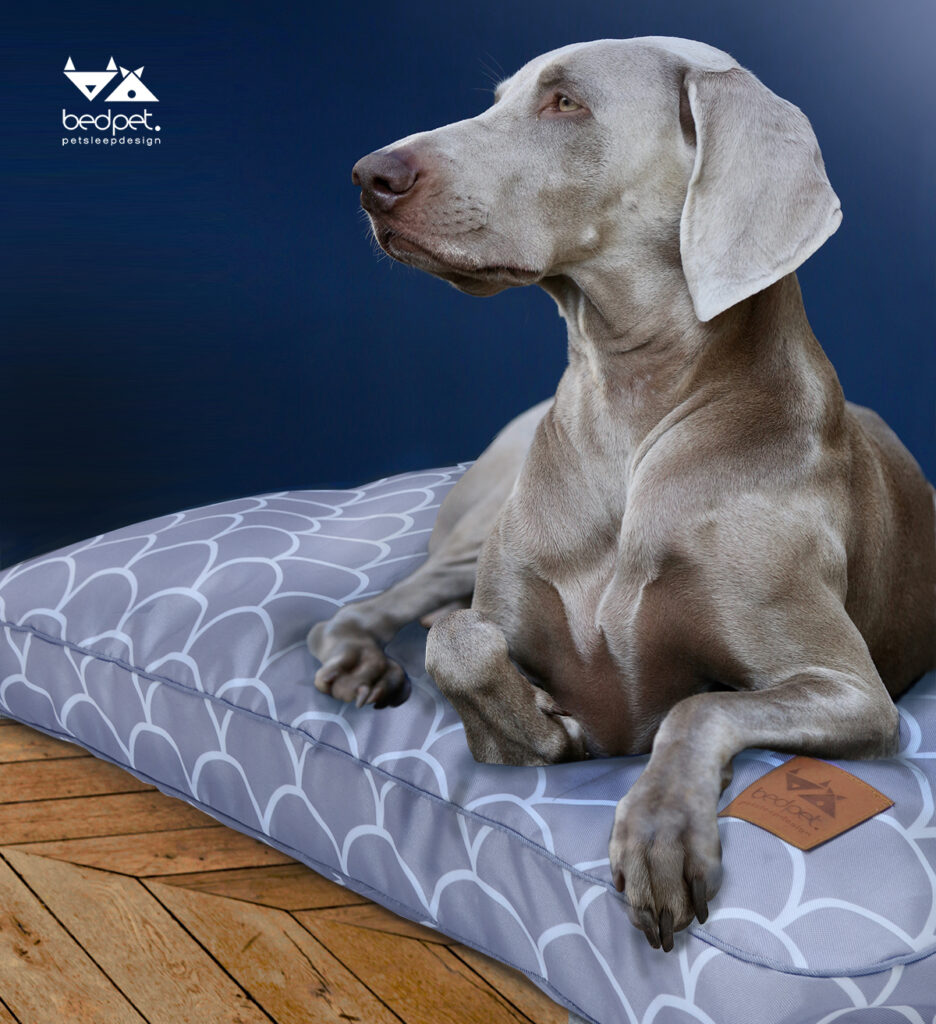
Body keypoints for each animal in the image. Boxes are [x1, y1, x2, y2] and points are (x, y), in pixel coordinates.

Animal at [307, 37, 936, 952]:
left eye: (565, 102)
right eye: (496, 98)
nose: (366, 174)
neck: (634, 412)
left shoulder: (854, 691)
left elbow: (699, 707)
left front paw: (660, 834)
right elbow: (464, 643)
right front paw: (538, 724)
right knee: (374, 610)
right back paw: (359, 662)